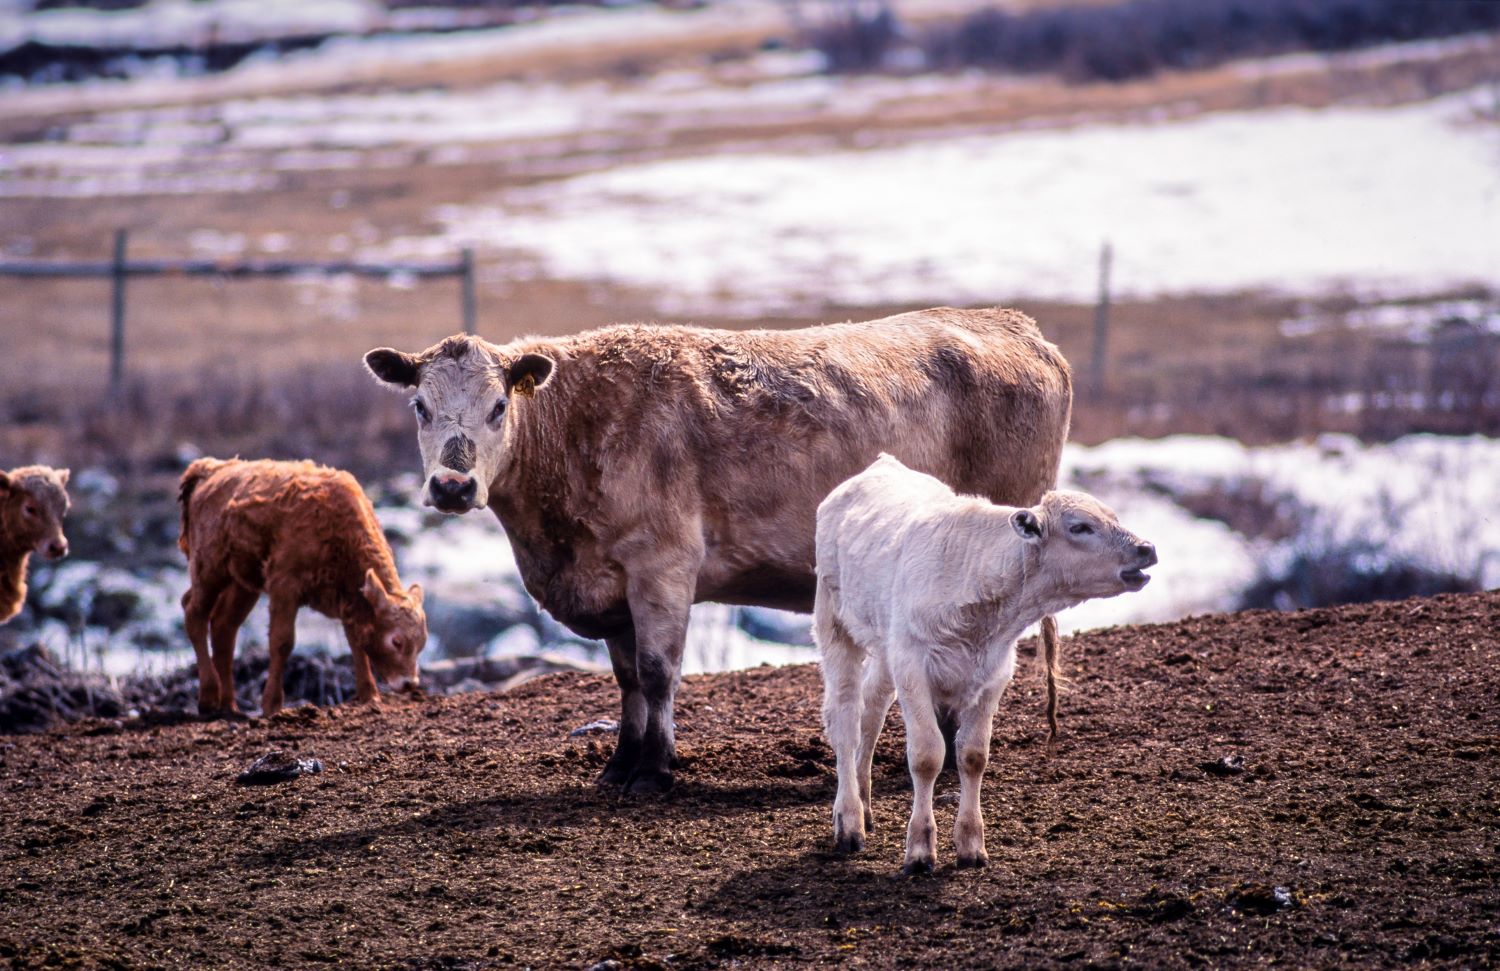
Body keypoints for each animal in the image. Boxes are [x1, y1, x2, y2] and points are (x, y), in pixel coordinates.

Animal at [181, 456, 432, 714]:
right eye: (396, 641)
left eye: (422, 642)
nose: (409, 683)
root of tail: (209, 470)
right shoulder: (284, 586)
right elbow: (282, 642)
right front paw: (272, 705)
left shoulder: (349, 601)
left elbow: (356, 643)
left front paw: (370, 695)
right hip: (208, 569)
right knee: (194, 612)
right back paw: (208, 697)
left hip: (243, 584)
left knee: (224, 626)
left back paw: (230, 706)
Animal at [367, 307, 1074, 792]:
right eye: (420, 405)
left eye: (497, 407)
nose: (453, 486)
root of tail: (1015, 325)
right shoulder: (612, 584)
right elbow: (627, 678)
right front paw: (620, 765)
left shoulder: (662, 565)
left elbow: (658, 672)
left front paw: (656, 770)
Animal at [816, 453, 1152, 876]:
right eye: (1080, 527)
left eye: (1114, 517)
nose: (1146, 548)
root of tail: (880, 465)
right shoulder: (913, 667)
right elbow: (926, 755)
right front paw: (920, 851)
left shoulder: (993, 674)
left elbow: (973, 755)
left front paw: (971, 846)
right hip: (834, 624)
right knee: (844, 719)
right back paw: (849, 822)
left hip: (884, 644)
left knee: (871, 709)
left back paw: (865, 803)